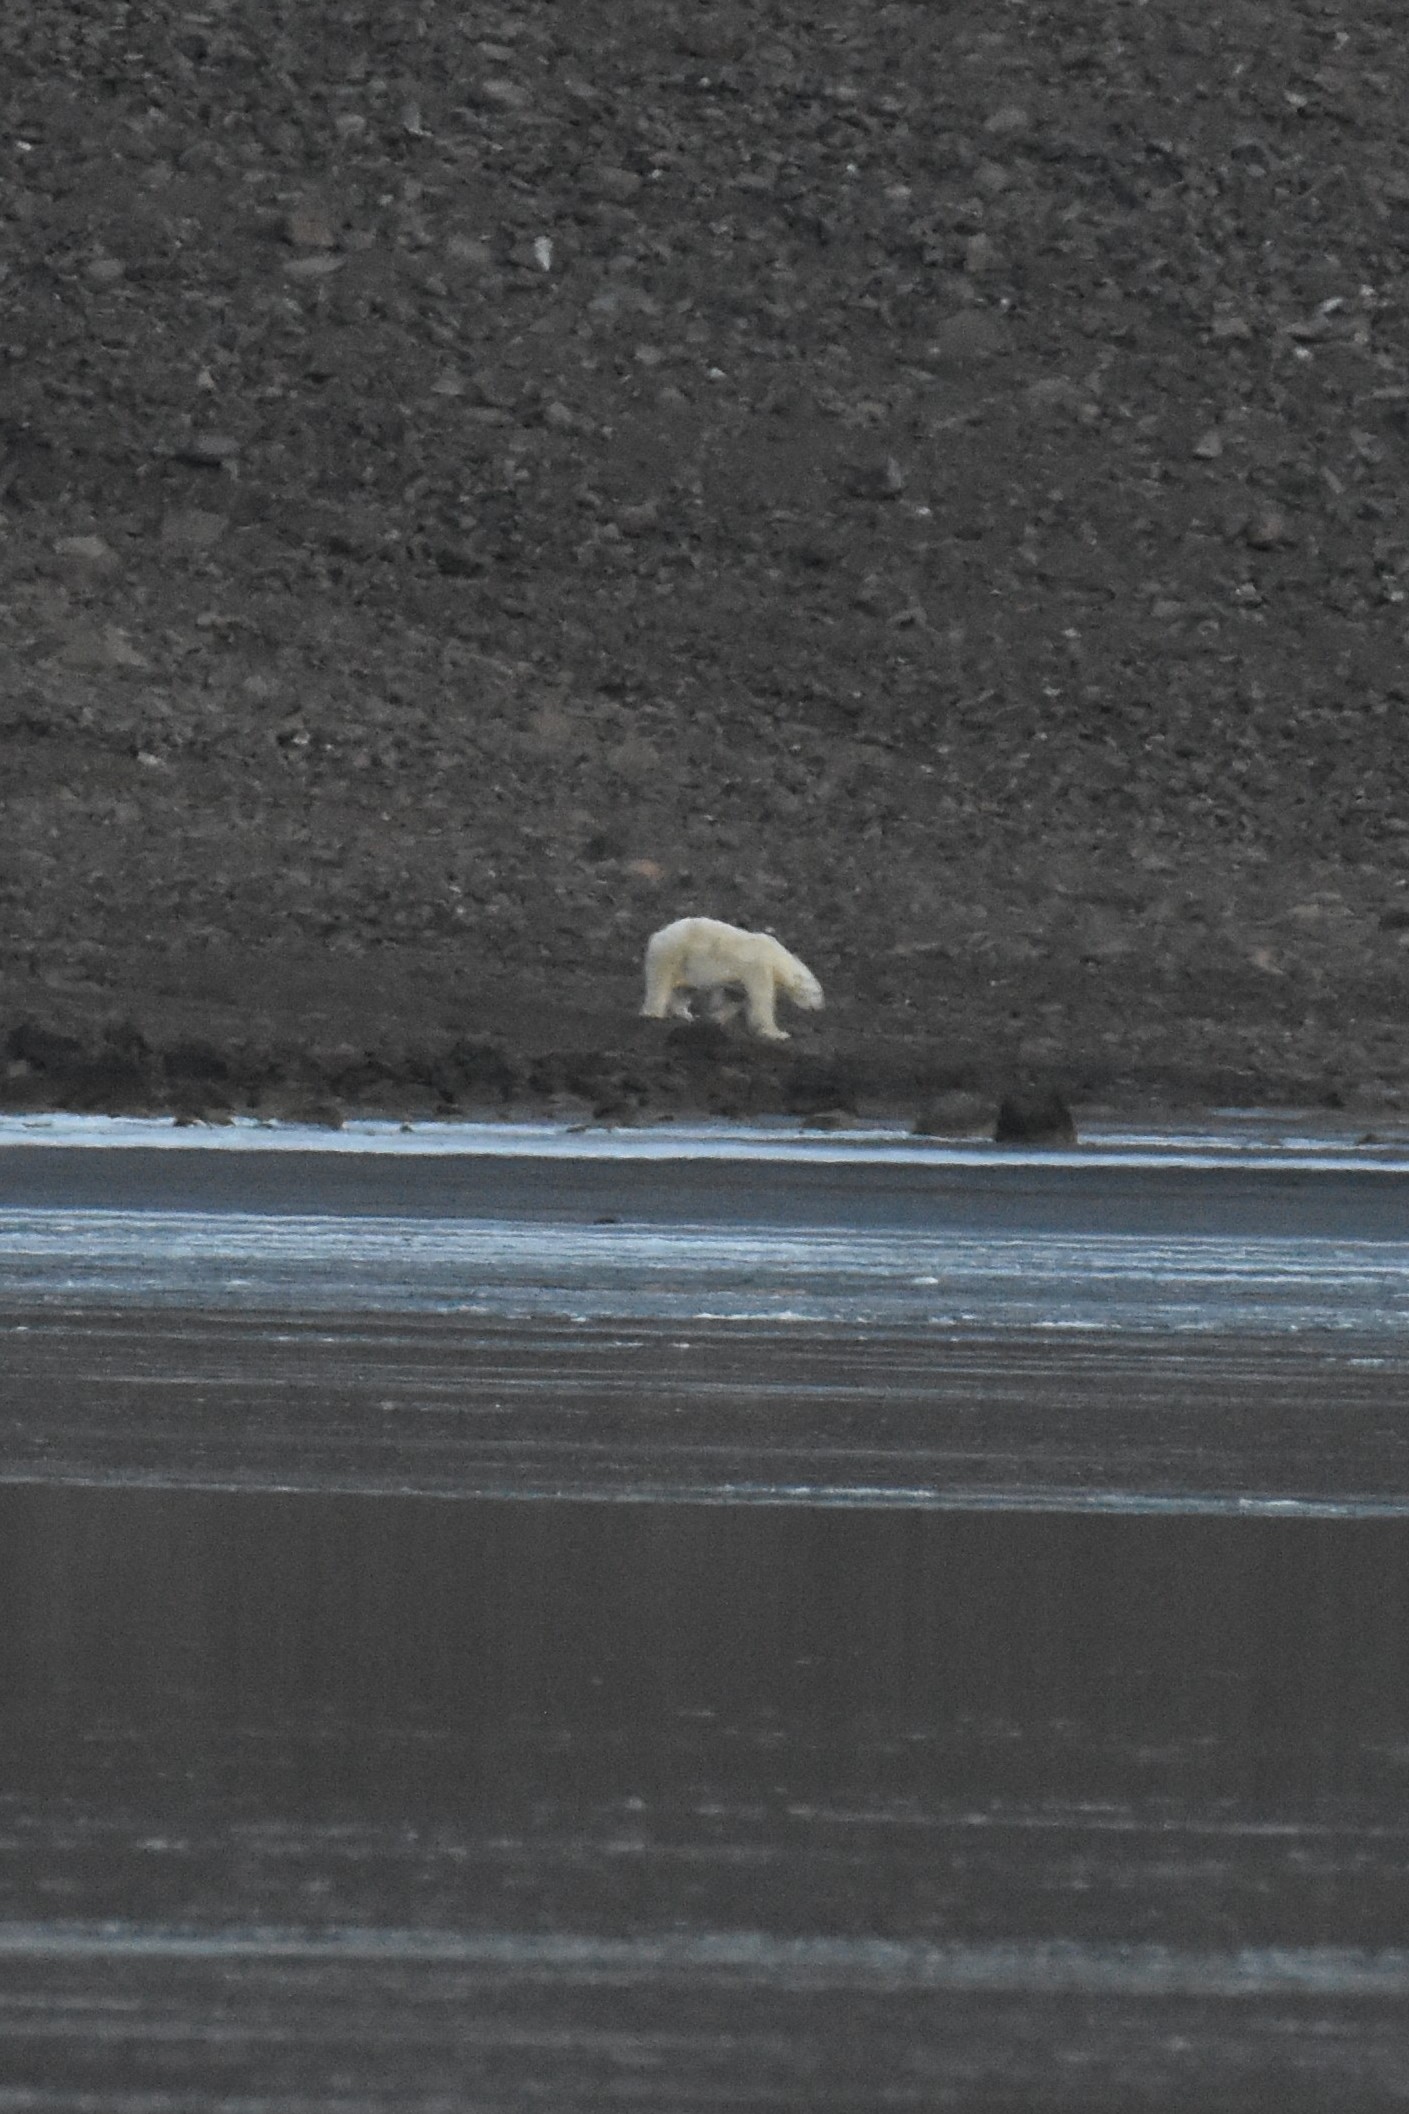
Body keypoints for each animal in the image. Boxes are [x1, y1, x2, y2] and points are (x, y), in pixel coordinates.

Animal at [641, 917, 824, 1042]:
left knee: (686, 988)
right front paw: (778, 1033)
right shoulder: (759, 968)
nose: (819, 1008)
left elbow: (734, 997)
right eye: (816, 993)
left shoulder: (739, 979)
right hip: (673, 952)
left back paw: (685, 1014)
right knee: (660, 982)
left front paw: (717, 1019)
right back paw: (654, 1013)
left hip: (686, 962)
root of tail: (657, 934)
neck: (775, 957)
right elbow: (762, 999)